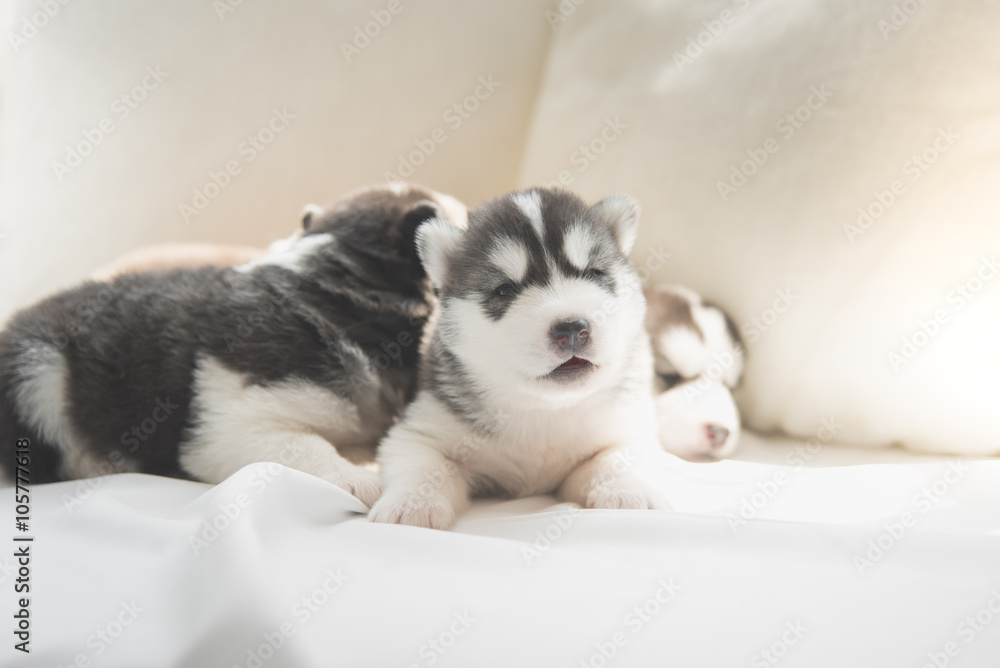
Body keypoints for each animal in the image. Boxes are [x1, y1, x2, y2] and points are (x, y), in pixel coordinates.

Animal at [370, 187, 672, 528]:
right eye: (504, 290)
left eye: (595, 273)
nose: (572, 329)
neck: (543, 408)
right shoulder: (421, 428)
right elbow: (423, 463)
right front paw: (410, 503)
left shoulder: (626, 425)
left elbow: (617, 456)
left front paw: (629, 493)